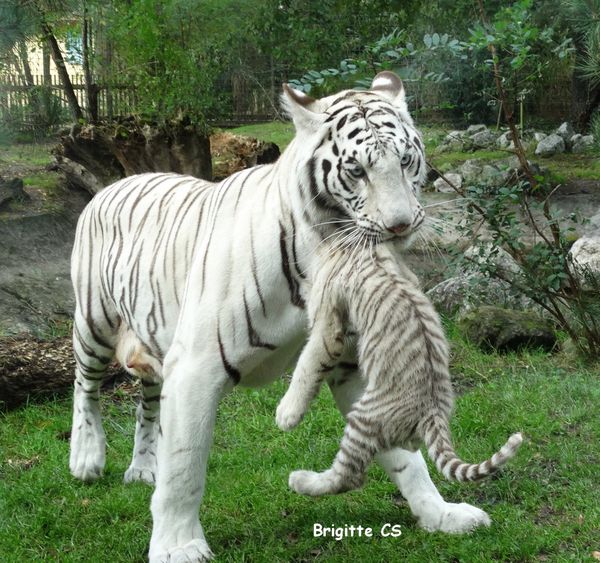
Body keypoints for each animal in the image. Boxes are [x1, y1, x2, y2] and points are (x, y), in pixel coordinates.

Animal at [70, 72, 492, 560]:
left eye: (406, 161)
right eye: (357, 171)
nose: (401, 225)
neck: (315, 255)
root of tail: (115, 183)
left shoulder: (349, 364)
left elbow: (406, 459)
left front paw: (441, 514)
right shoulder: (196, 365)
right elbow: (184, 467)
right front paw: (178, 545)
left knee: (148, 398)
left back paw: (142, 469)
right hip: (94, 321)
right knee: (85, 386)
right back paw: (86, 458)